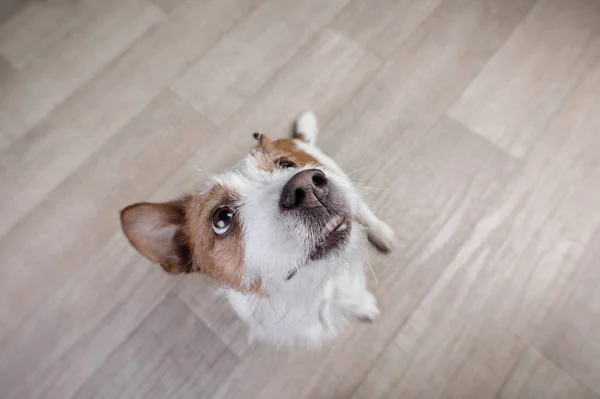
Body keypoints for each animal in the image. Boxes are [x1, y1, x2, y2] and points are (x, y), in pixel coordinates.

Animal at [119, 111, 396, 346]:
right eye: (221, 219)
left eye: (286, 165)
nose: (307, 186)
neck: (308, 290)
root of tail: (289, 139)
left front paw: (364, 306)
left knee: (362, 209)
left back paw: (381, 233)